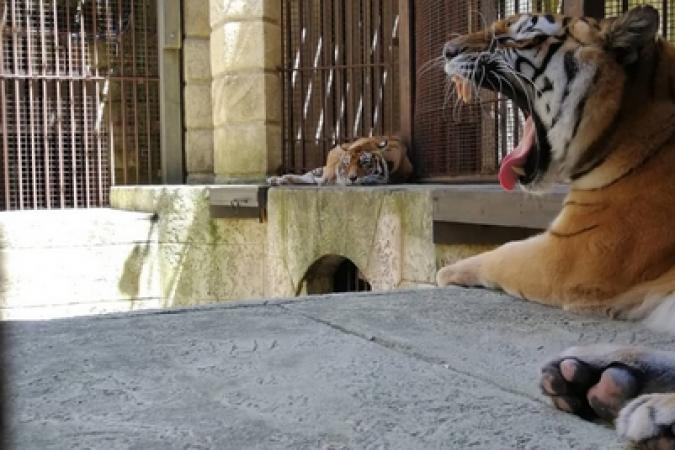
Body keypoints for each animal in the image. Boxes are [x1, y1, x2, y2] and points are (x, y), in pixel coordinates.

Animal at [438, 6, 675, 446]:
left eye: (518, 37)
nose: (447, 49)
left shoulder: (574, 252)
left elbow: (503, 253)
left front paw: (446, 272)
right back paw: (596, 376)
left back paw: (652, 409)